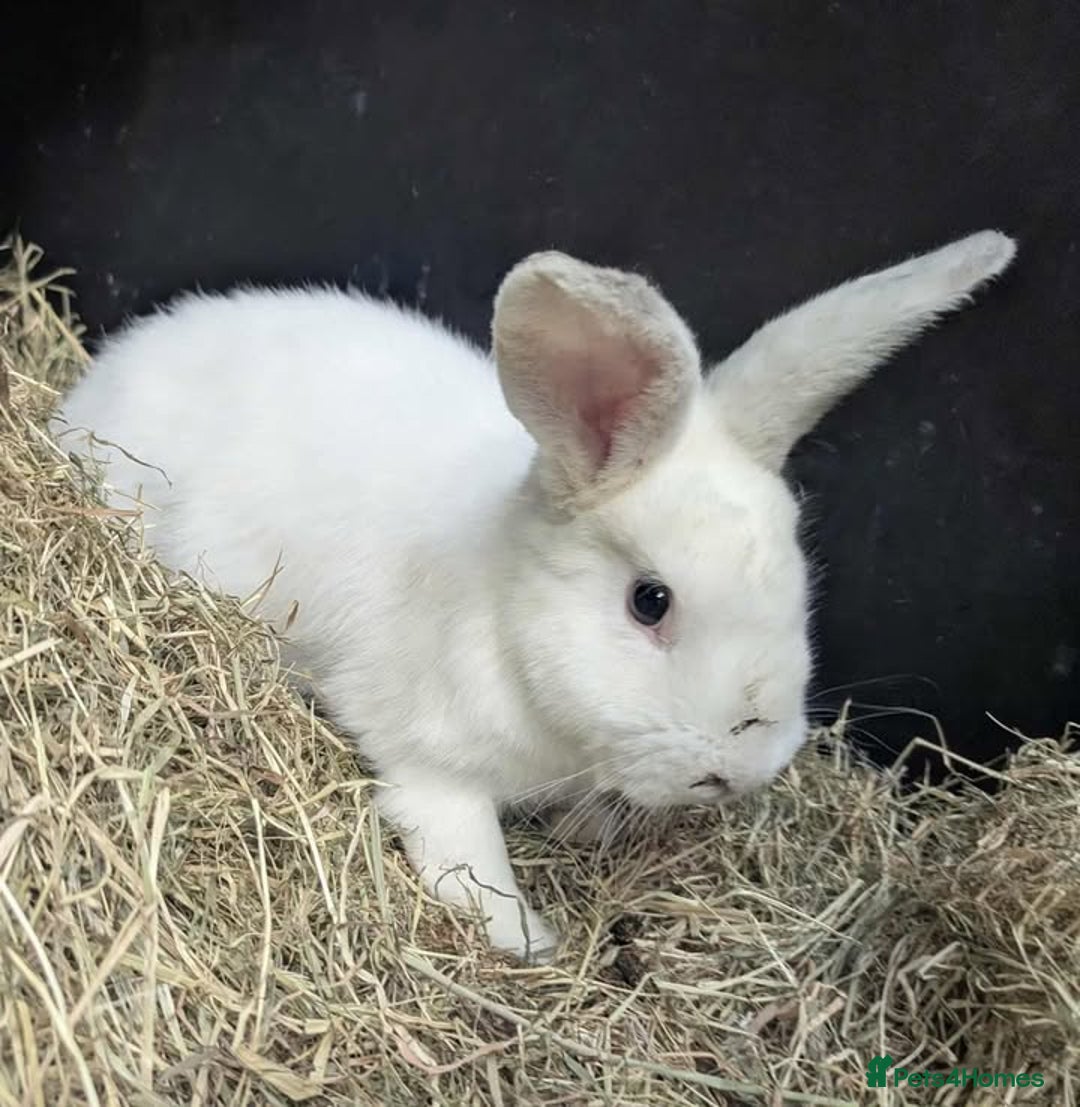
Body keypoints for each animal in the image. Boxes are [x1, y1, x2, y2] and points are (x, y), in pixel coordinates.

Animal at [53, 230, 1016, 961]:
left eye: (797, 582)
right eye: (650, 601)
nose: (742, 769)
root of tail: (90, 384)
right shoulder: (427, 757)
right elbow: (465, 849)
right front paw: (525, 939)